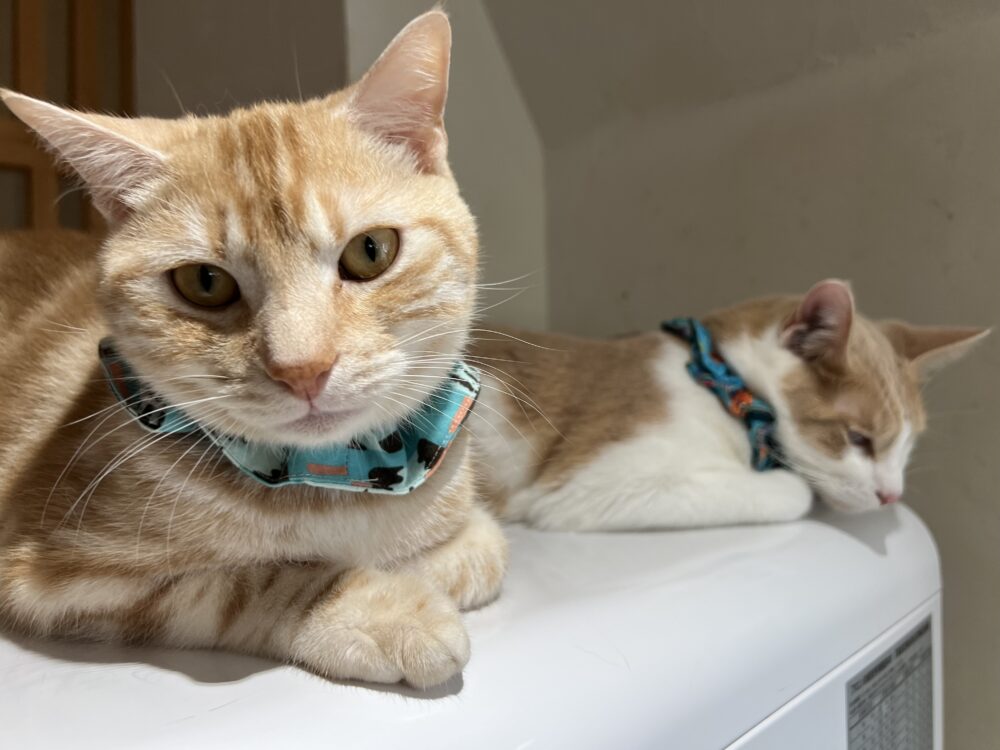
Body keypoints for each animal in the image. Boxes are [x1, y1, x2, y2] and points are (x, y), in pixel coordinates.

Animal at [0, 11, 508, 689]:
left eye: (370, 250)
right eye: (205, 282)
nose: (303, 369)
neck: (340, 479)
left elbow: (476, 551)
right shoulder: (58, 574)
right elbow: (255, 579)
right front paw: (385, 609)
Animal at [471, 280, 988, 531]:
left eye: (908, 446)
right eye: (858, 439)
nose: (892, 496)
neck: (717, 378)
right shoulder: (593, 484)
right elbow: (795, 491)